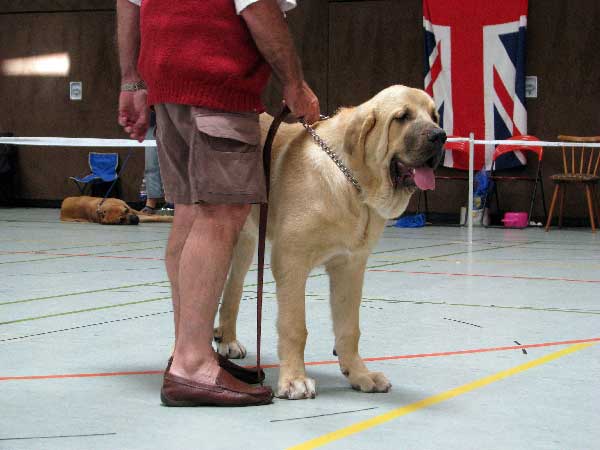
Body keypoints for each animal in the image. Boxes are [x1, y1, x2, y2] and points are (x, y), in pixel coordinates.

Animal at [214, 86, 446, 400]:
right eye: (402, 117)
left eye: (434, 116)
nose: (440, 136)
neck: (353, 182)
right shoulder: (291, 261)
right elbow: (294, 326)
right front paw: (294, 380)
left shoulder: (350, 266)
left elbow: (349, 329)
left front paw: (360, 374)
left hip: (248, 243)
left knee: (233, 290)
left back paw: (226, 339)